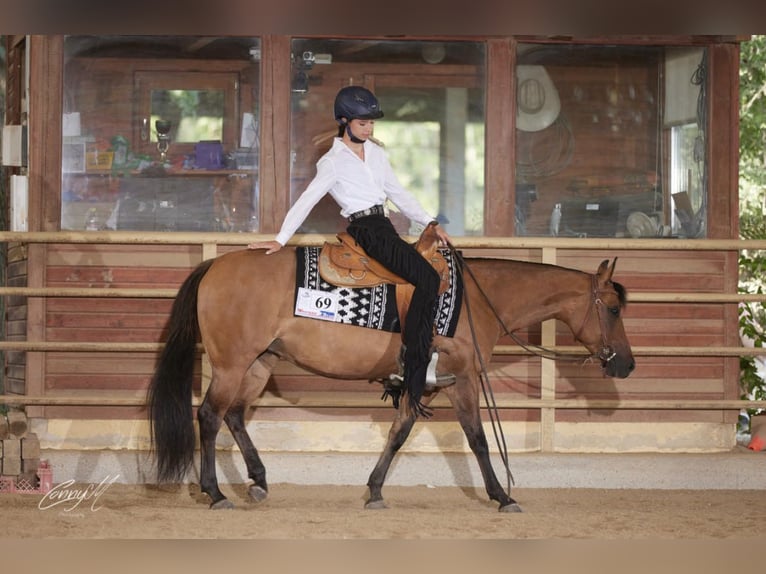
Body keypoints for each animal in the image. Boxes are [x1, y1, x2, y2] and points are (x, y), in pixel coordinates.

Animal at [148, 245, 636, 516]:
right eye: (613, 309)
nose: (626, 365)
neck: (477, 299)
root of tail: (215, 265)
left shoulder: (426, 383)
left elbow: (399, 434)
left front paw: (375, 490)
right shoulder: (463, 380)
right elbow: (477, 439)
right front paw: (502, 496)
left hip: (259, 363)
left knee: (233, 416)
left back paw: (259, 481)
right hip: (232, 364)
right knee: (209, 417)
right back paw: (215, 493)